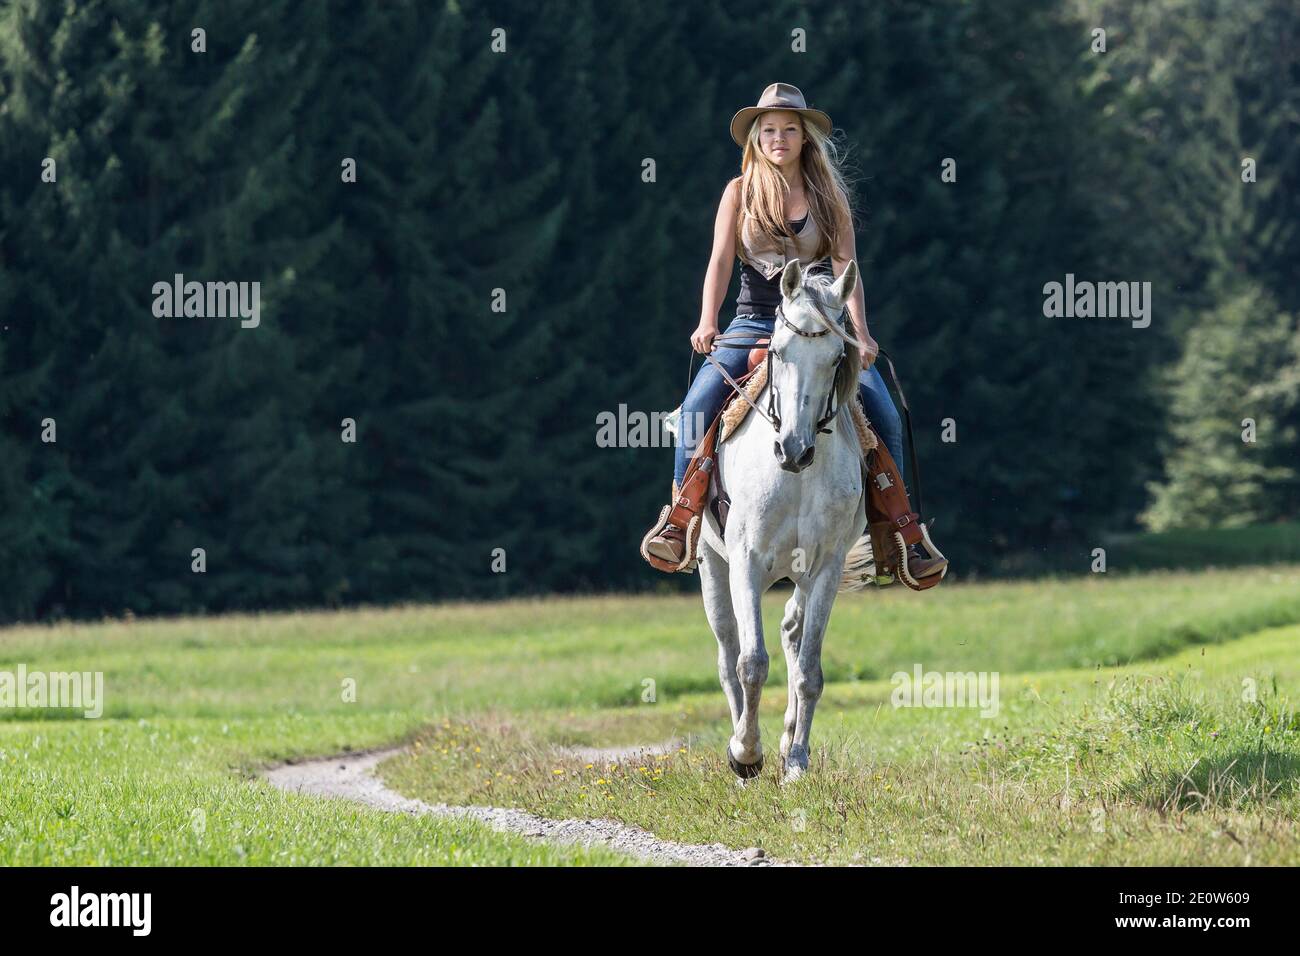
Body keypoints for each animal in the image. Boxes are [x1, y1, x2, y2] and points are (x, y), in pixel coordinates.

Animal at [696, 257, 868, 780]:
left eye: (837, 358)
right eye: (777, 350)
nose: (794, 449)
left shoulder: (826, 566)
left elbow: (810, 672)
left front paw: (795, 762)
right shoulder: (746, 560)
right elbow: (750, 662)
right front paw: (745, 755)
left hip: (803, 576)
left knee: (792, 630)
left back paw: (790, 737)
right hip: (713, 568)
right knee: (728, 652)